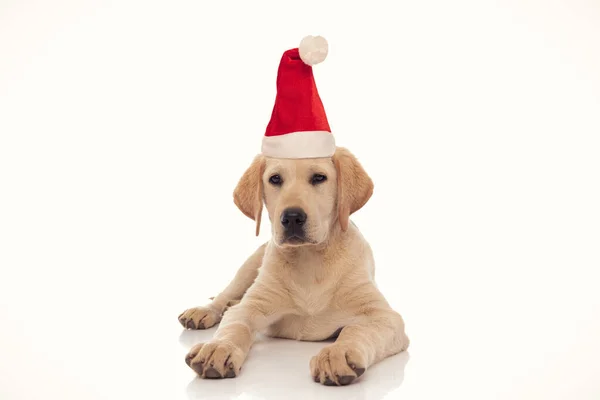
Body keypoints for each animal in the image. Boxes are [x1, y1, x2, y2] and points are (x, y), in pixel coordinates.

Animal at [178, 146, 410, 384]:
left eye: (319, 177)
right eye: (275, 179)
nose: (291, 217)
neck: (310, 259)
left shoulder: (384, 316)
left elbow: (356, 330)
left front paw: (337, 353)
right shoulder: (250, 306)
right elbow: (235, 325)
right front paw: (218, 347)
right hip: (250, 265)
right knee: (226, 295)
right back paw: (205, 311)